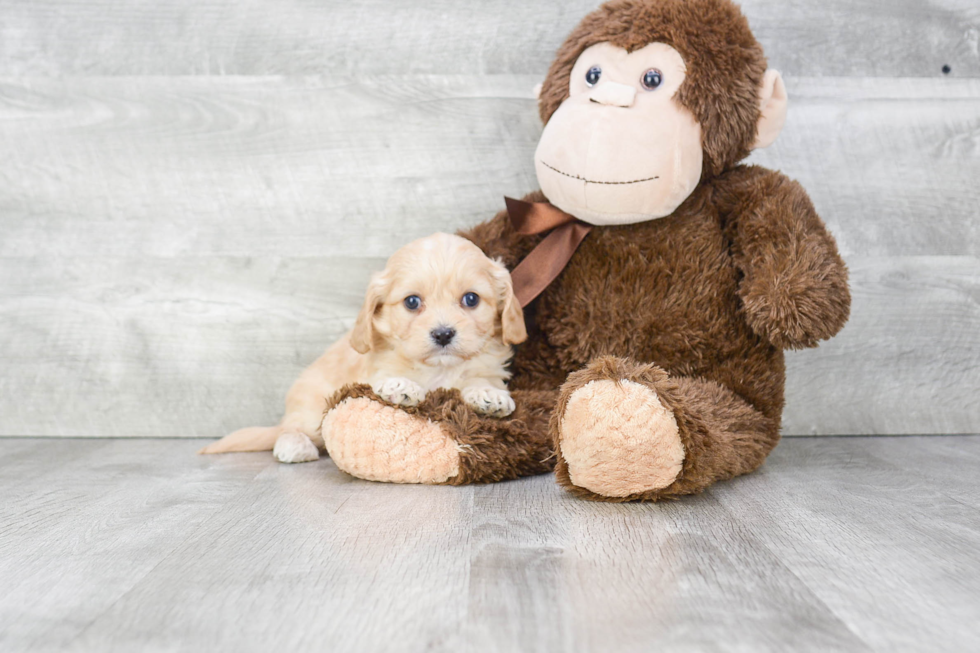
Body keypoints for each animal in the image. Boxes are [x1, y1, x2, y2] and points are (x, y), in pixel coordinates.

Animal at [195, 232, 524, 460]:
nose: (443, 334)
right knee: (290, 428)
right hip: (310, 409)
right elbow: (387, 377)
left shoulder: (487, 366)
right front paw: (401, 385)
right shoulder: (373, 370)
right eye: (412, 302)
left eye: (471, 299)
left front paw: (488, 395)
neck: (439, 370)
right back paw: (294, 445)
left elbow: (481, 379)